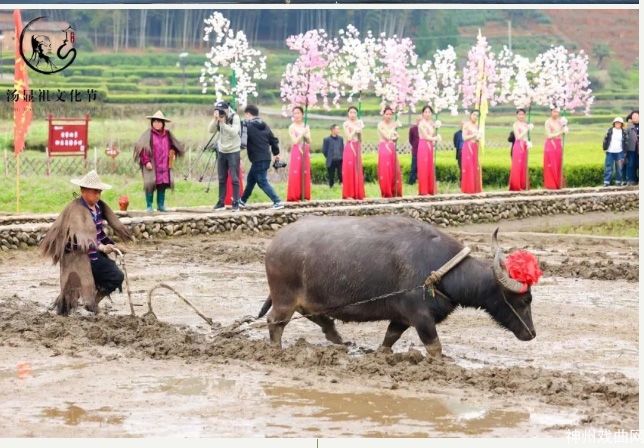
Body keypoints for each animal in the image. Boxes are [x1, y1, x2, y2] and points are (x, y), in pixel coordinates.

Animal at [260, 215, 536, 358]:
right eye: (526, 300)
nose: (532, 334)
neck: (440, 271)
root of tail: (274, 244)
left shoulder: (401, 318)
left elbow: (389, 339)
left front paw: (380, 356)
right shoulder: (421, 317)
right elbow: (435, 347)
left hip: (306, 299)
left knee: (314, 316)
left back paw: (338, 339)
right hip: (284, 297)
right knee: (275, 321)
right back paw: (275, 350)